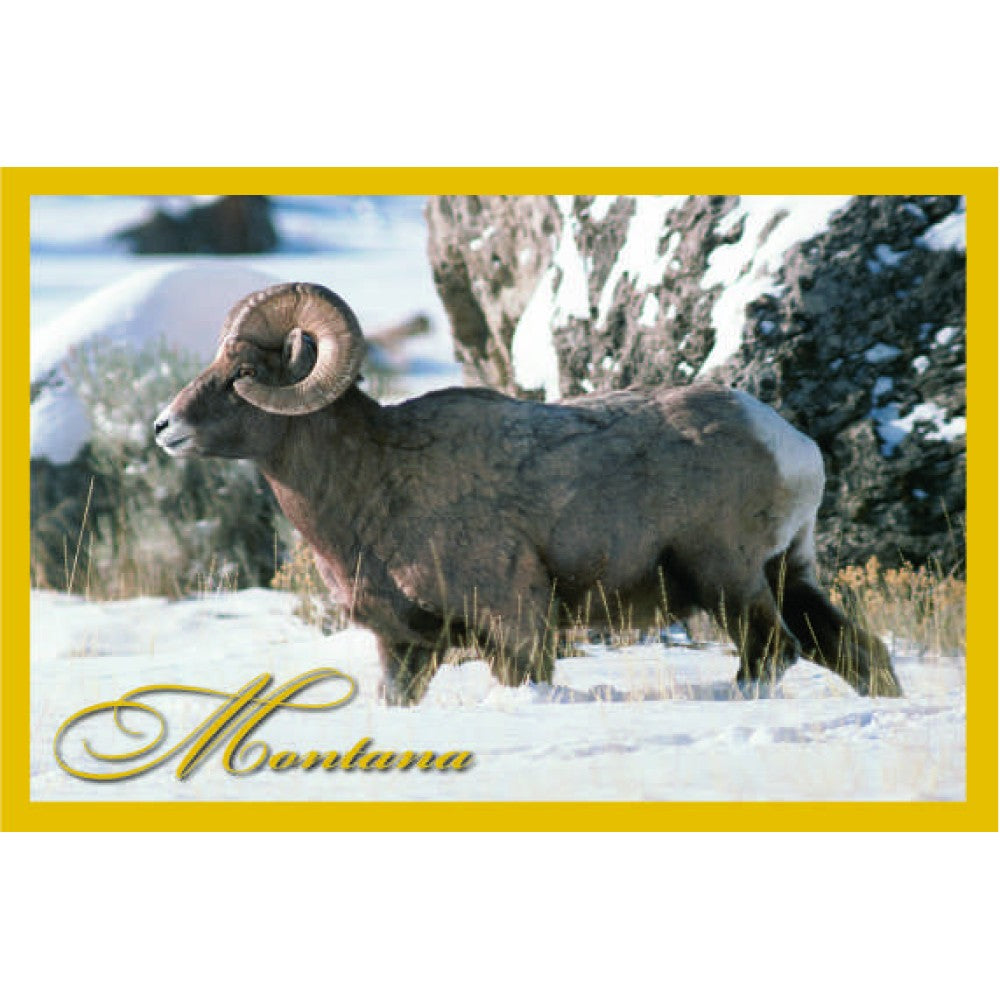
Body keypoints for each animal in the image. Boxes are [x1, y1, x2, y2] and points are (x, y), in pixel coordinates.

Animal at [154, 282, 902, 704]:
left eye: (242, 372)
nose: (164, 428)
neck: (375, 481)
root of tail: (790, 444)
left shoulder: (514, 619)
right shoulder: (405, 645)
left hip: (726, 577)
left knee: (771, 655)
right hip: (788, 573)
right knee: (853, 652)